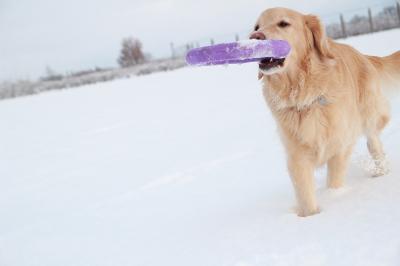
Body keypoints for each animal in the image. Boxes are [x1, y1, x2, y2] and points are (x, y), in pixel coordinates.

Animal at [250, 7, 400, 217]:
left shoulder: (341, 144)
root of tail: (362, 55)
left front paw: (334, 197)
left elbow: (334, 180)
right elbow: (305, 192)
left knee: (373, 140)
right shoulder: (296, 153)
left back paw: (381, 170)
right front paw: (311, 216)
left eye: (283, 23)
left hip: (369, 113)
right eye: (257, 27)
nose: (255, 37)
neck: (304, 93)